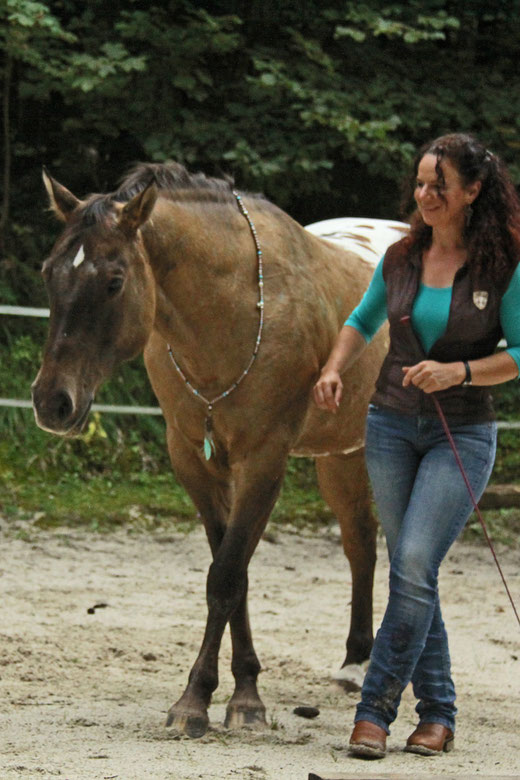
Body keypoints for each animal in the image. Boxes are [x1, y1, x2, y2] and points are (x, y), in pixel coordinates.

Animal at [31, 161, 406, 736]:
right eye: (50, 273)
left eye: (115, 281)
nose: (52, 402)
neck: (231, 314)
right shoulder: (196, 462)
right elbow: (234, 574)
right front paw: (235, 689)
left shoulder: (264, 461)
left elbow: (227, 576)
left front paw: (209, 700)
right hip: (341, 455)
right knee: (361, 543)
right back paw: (355, 662)